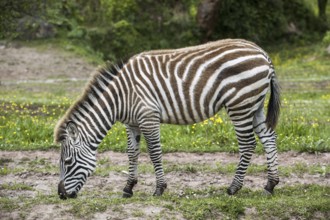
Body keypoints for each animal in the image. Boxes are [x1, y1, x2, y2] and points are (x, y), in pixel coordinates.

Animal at [55, 38, 280, 199]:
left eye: (67, 161)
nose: (61, 195)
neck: (120, 97)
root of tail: (262, 53)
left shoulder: (148, 117)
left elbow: (154, 152)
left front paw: (159, 188)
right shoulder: (132, 123)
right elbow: (132, 153)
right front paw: (128, 188)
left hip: (240, 105)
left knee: (248, 144)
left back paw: (234, 187)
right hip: (254, 105)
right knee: (268, 138)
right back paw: (270, 185)